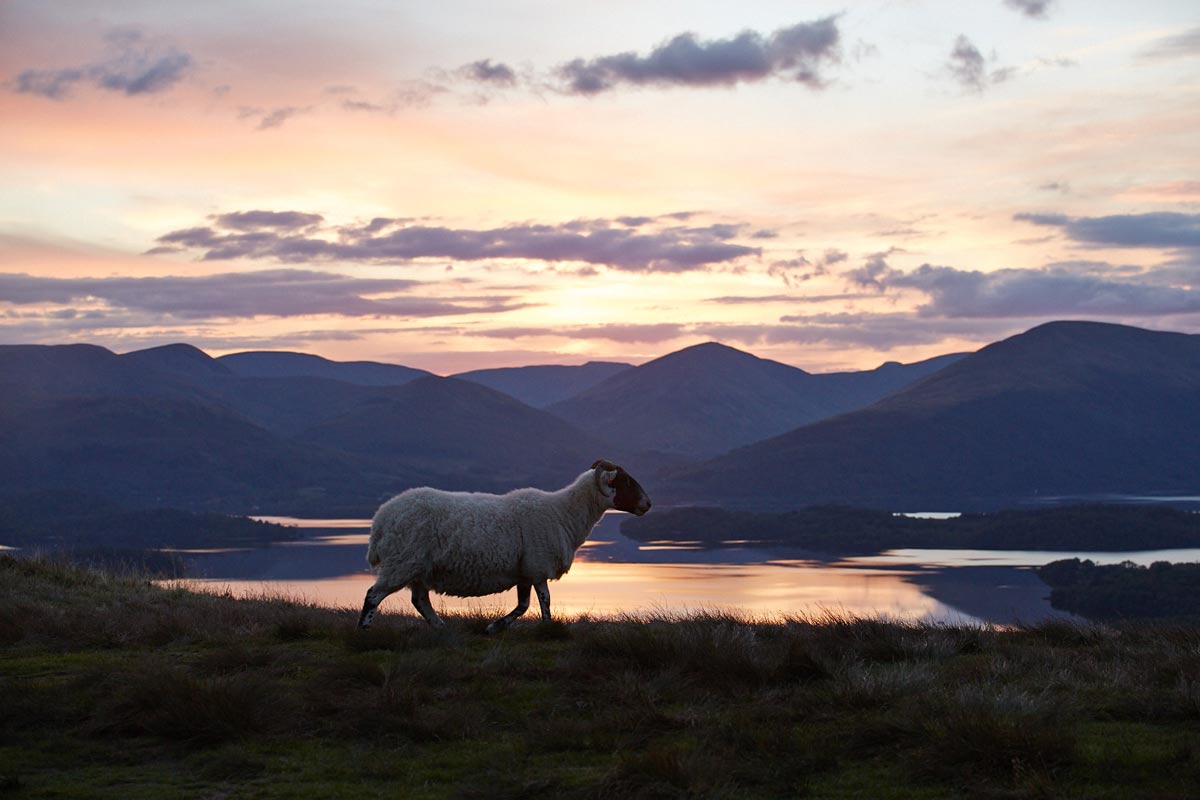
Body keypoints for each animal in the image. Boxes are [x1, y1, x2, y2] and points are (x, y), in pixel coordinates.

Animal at [355, 460, 652, 633]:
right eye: (625, 481)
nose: (648, 504)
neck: (563, 512)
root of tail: (380, 519)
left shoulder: (525, 571)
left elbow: (523, 605)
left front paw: (495, 627)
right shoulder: (538, 566)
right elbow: (544, 601)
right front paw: (546, 628)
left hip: (418, 568)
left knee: (419, 600)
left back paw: (441, 628)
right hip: (403, 562)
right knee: (373, 595)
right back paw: (363, 632)